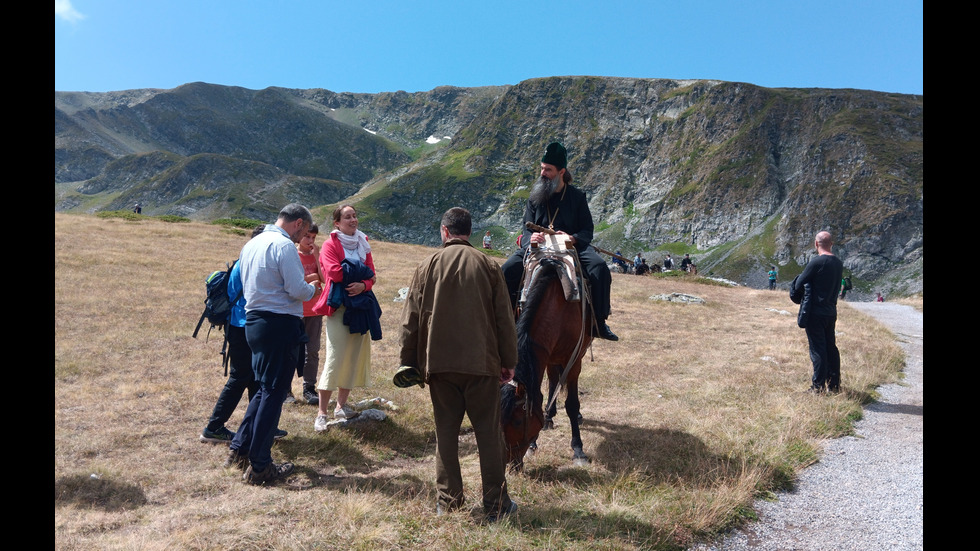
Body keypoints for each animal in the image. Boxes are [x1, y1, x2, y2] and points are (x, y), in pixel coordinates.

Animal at [502, 254, 592, 470]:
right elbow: (540, 394)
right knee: (553, 380)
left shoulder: (573, 359)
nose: (511, 465)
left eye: (518, 421)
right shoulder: (543, 356)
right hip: (551, 359)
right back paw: (549, 416)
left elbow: (572, 403)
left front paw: (578, 450)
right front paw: (534, 443)